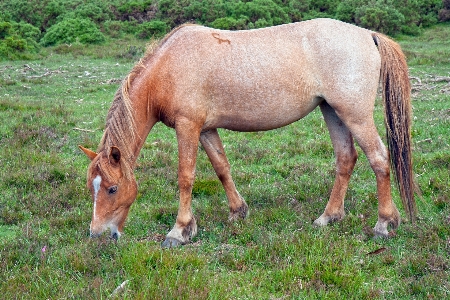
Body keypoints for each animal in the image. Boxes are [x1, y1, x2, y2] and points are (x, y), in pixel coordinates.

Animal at [79, 18, 416, 246]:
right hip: (332, 111)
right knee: (346, 158)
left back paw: (384, 223)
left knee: (379, 158)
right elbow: (221, 167)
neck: (170, 67)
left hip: (354, 115)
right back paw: (328, 217)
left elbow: (186, 176)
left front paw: (180, 230)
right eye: (91, 187)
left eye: (112, 188)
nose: (97, 234)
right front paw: (237, 211)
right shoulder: (206, 129)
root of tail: (368, 35)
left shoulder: (188, 126)